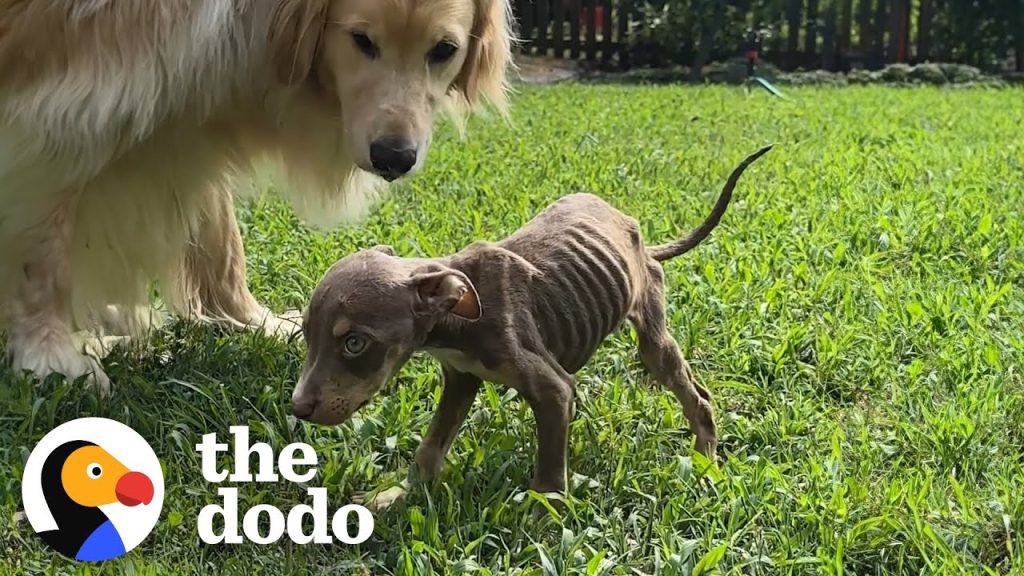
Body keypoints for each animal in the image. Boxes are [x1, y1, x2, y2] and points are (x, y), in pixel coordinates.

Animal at [292, 145, 770, 504]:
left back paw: (706, 461)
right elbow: (432, 445)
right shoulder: (461, 378)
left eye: (355, 343)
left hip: (652, 330)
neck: (457, 316)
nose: (298, 409)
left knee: (696, 395)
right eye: (305, 335)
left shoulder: (552, 389)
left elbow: (550, 471)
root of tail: (636, 233)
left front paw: (544, 519)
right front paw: (400, 494)